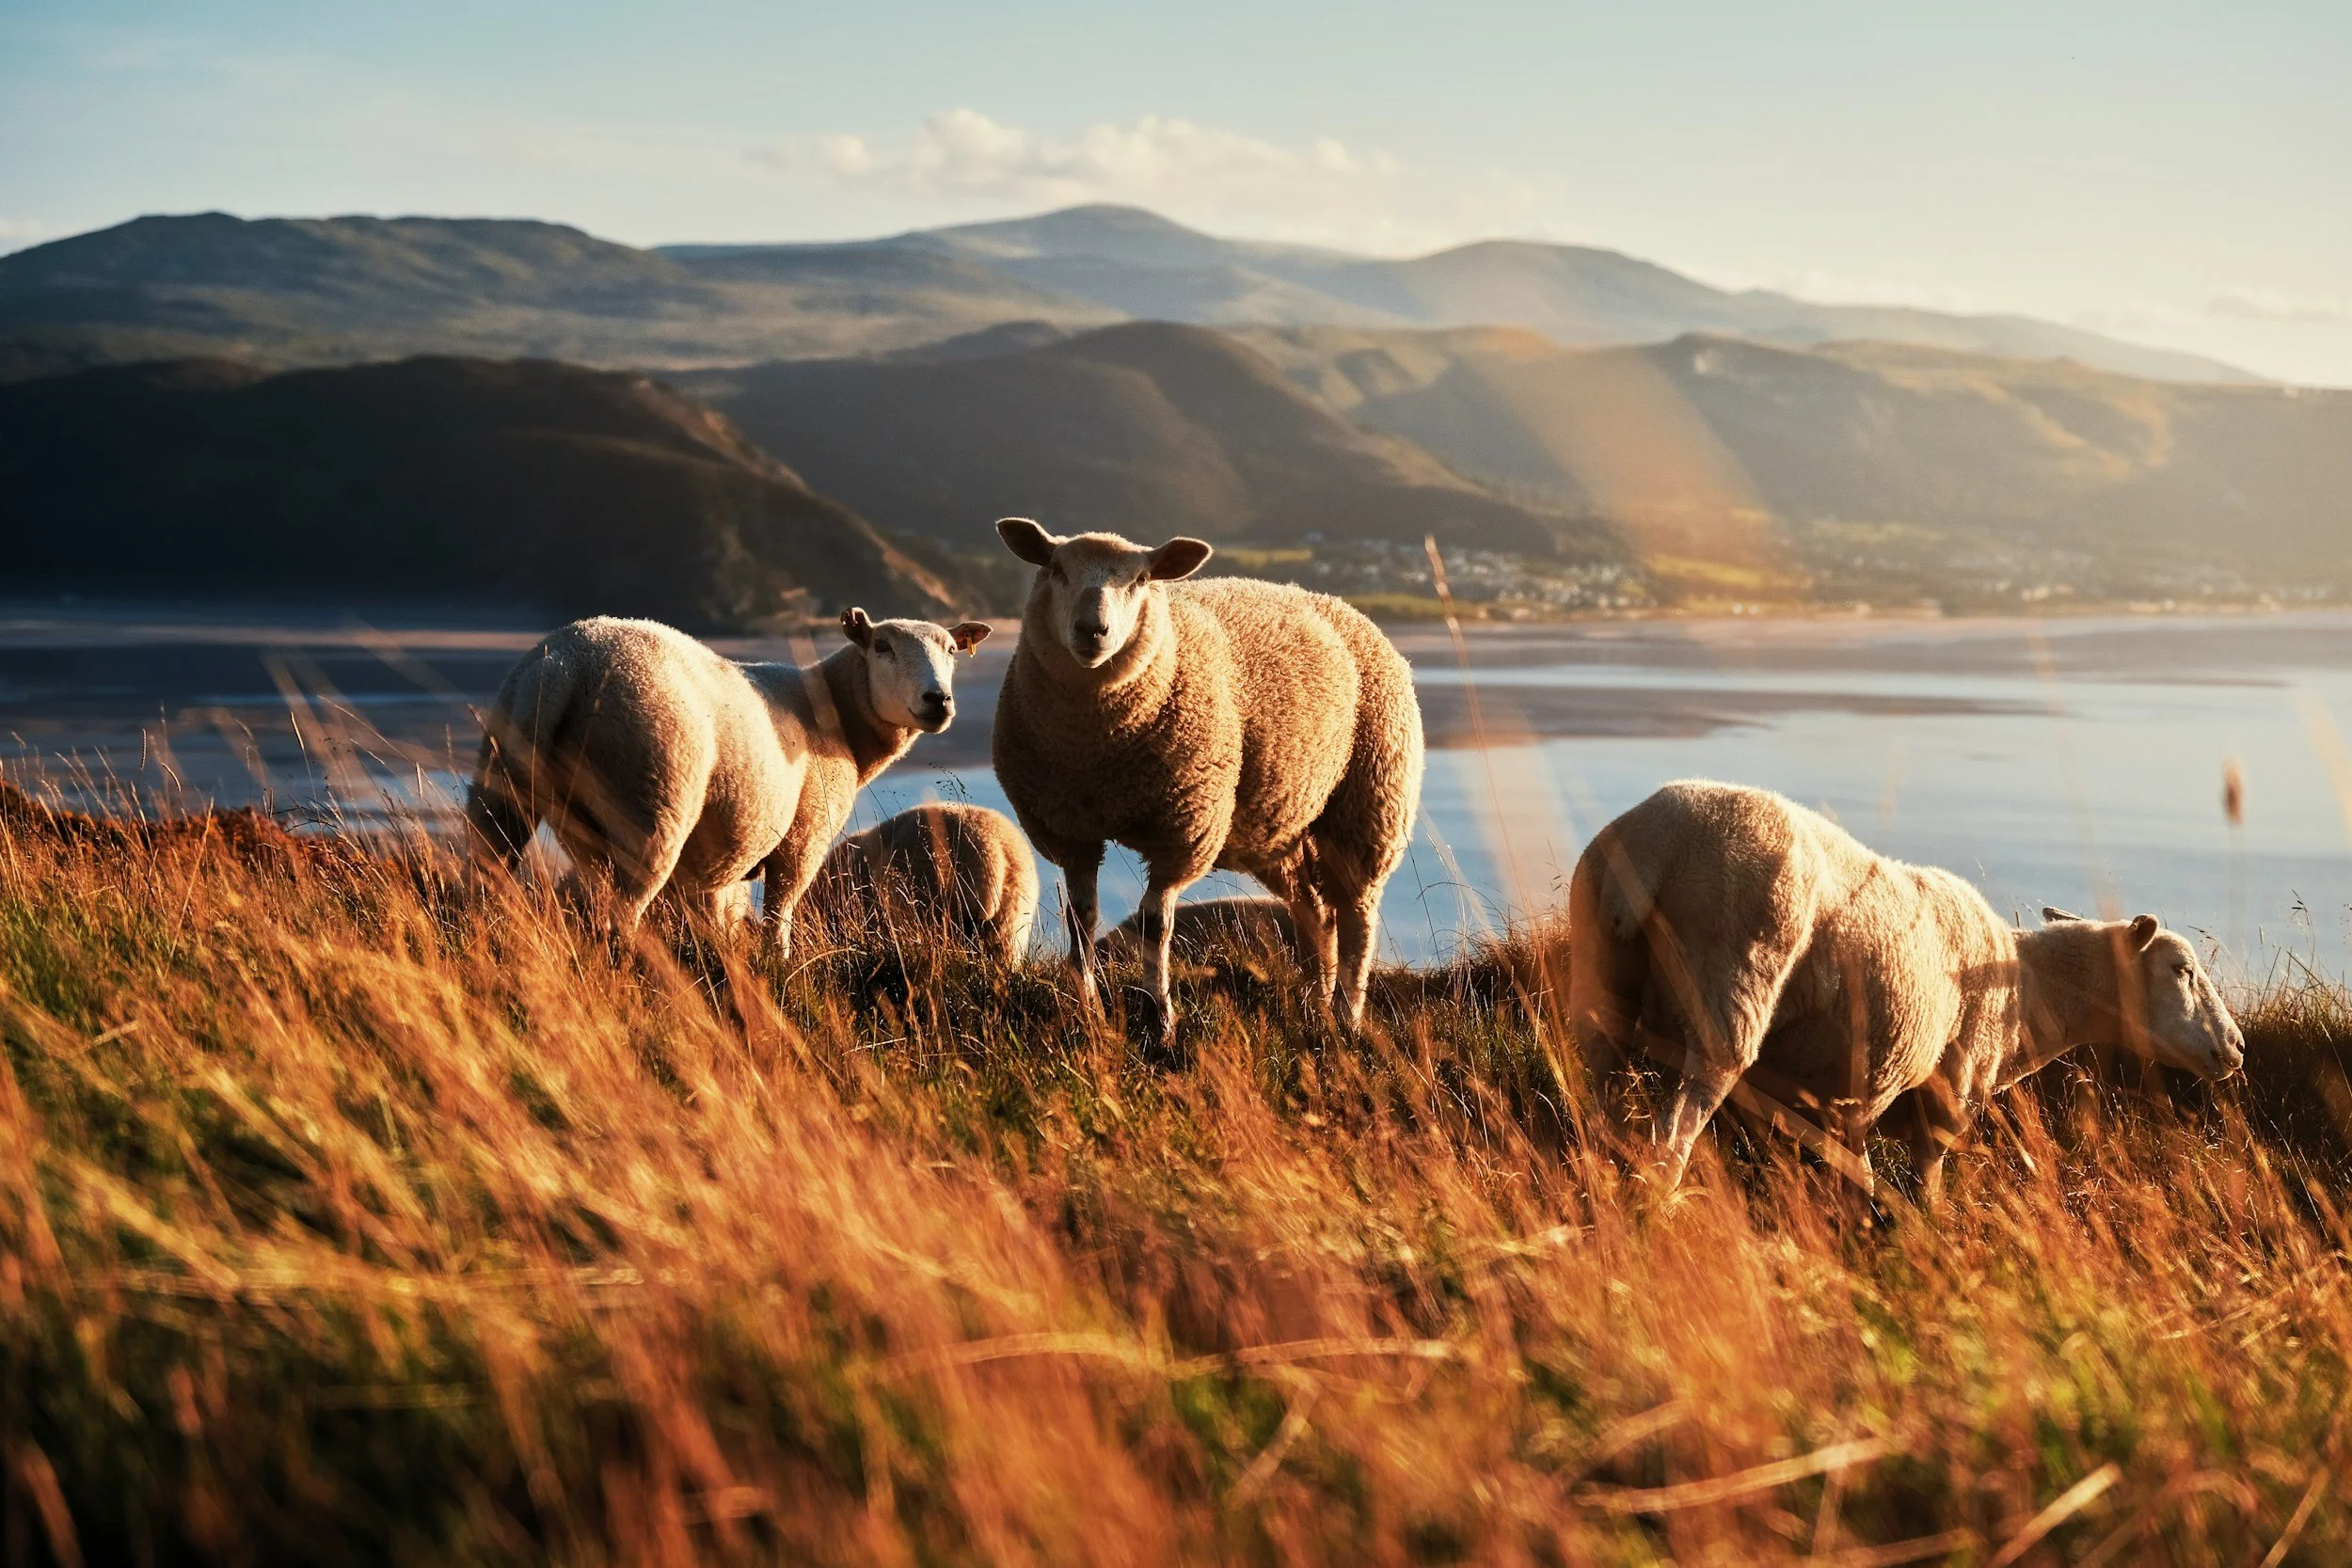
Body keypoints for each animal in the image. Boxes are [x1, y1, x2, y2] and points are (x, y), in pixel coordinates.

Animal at [466, 609, 990, 954]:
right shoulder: (803, 837)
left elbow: (714, 919)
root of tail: (567, 665)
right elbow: (778, 918)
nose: (938, 700)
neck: (835, 714)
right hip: (653, 794)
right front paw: (780, 967)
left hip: (501, 785)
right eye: (883, 648)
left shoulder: (712, 865)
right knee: (619, 918)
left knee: (486, 877)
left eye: (952, 652)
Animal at [991, 518, 1425, 1040]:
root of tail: (1341, 605)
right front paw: (1088, 1011)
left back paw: (1346, 1018)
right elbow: (1082, 920)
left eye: (1141, 580)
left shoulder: (1183, 831)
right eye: (1056, 568)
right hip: (1276, 828)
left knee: (1357, 917)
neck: (1098, 751)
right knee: (1315, 912)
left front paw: (1160, 1019)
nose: (1092, 631)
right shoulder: (1070, 830)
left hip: (1371, 805)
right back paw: (1315, 1004)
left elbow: (1155, 925)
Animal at [1567, 780, 2244, 1197]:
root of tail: (1653, 844)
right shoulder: (1943, 1103)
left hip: (1602, 983)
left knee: (1594, 1102)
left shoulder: (1830, 1105)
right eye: (2182, 969)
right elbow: (1924, 1196)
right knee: (1673, 1136)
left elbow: (1853, 1183)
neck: (2026, 991)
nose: (2237, 1048)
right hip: (1731, 990)